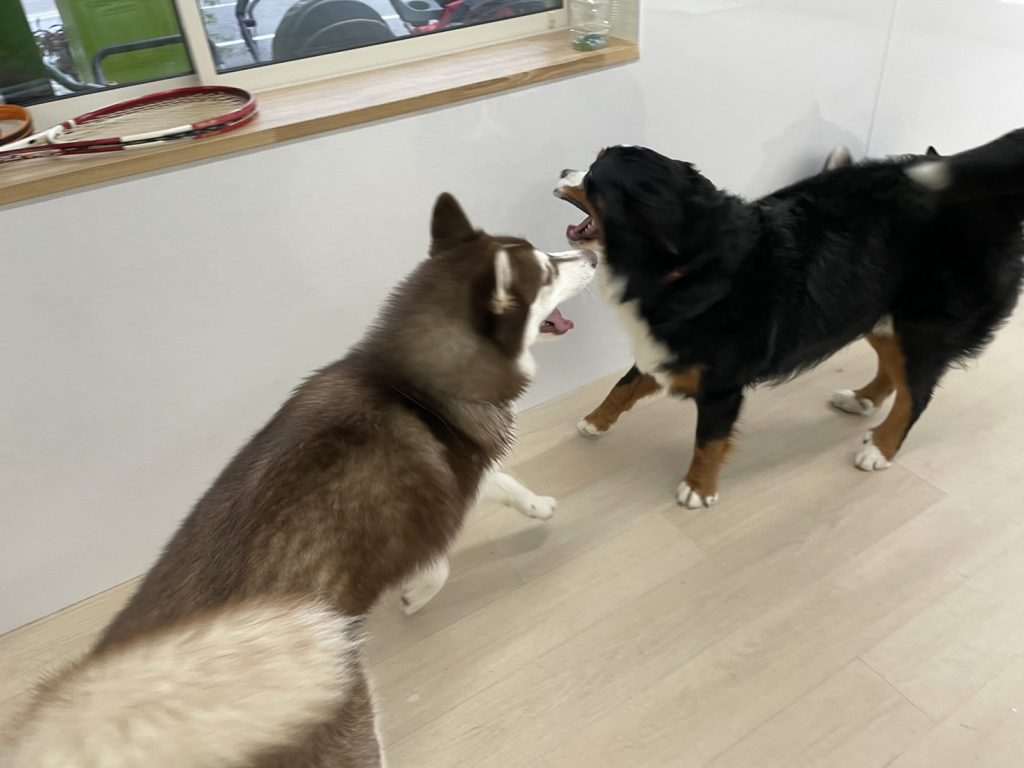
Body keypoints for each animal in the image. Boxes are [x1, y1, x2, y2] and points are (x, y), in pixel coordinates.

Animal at [4, 193, 596, 766]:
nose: (591, 256)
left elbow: (507, 483)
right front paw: (417, 594)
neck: (409, 381)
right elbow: (443, 561)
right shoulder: (437, 507)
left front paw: (538, 506)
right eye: (548, 271)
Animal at [554, 131, 1024, 508]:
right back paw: (862, 399)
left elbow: (709, 440)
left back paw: (881, 449)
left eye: (593, 178)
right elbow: (624, 385)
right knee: (894, 371)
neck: (686, 267)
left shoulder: (721, 382)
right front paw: (595, 421)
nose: (561, 169)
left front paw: (699, 489)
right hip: (872, 310)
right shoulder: (668, 348)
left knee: (917, 394)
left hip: (925, 325)